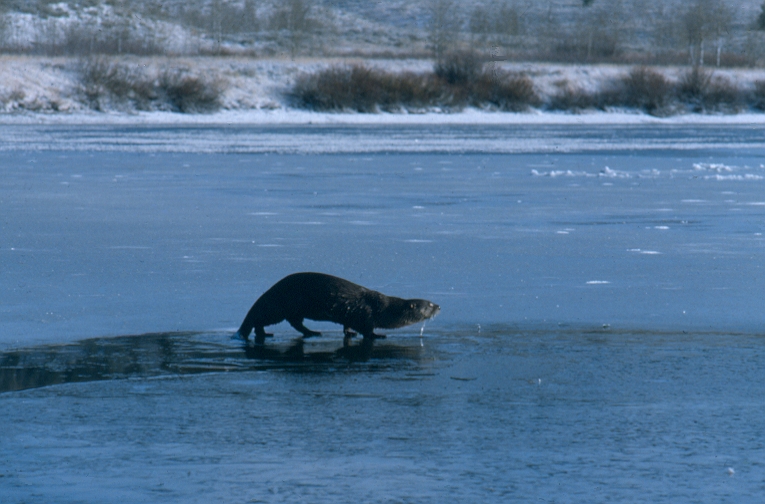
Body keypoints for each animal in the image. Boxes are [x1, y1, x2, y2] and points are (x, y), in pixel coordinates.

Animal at [234, 272, 440, 345]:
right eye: (429, 304)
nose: (439, 305)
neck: (383, 308)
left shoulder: (350, 316)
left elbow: (347, 326)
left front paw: (349, 333)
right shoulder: (366, 315)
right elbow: (367, 330)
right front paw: (378, 335)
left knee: (295, 323)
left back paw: (311, 332)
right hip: (279, 306)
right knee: (259, 319)